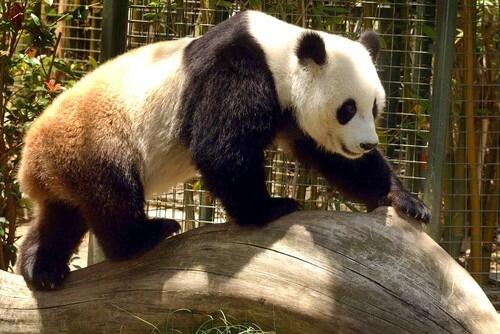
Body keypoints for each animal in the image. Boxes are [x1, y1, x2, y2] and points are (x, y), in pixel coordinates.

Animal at [16, 11, 430, 290]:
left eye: (374, 108)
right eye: (347, 108)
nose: (366, 143)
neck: (282, 51)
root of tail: (30, 162)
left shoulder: (293, 112)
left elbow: (331, 157)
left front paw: (407, 201)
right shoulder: (238, 69)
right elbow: (220, 148)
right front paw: (269, 207)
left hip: (68, 166)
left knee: (63, 216)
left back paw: (41, 269)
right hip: (97, 141)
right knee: (112, 196)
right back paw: (147, 235)